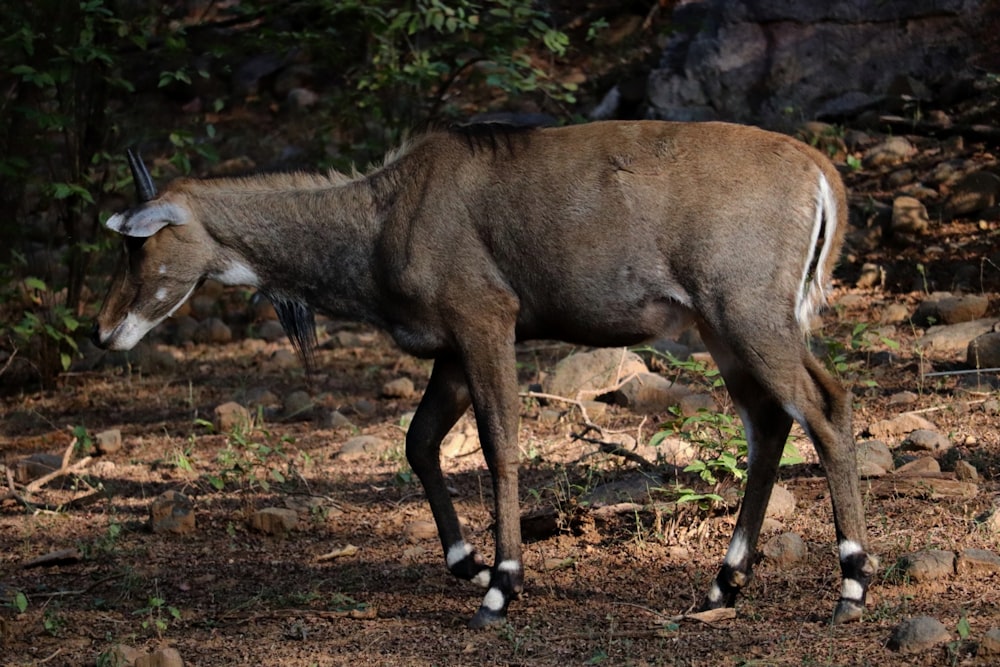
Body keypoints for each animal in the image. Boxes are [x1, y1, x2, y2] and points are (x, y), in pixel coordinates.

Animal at [94, 121, 876, 632]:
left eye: (141, 246)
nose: (104, 331)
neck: (380, 220)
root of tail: (824, 175)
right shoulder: (449, 349)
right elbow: (419, 443)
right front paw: (466, 561)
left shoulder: (486, 318)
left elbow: (500, 446)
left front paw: (501, 585)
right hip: (724, 326)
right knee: (773, 420)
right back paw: (722, 585)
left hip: (745, 313)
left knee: (825, 408)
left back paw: (852, 584)